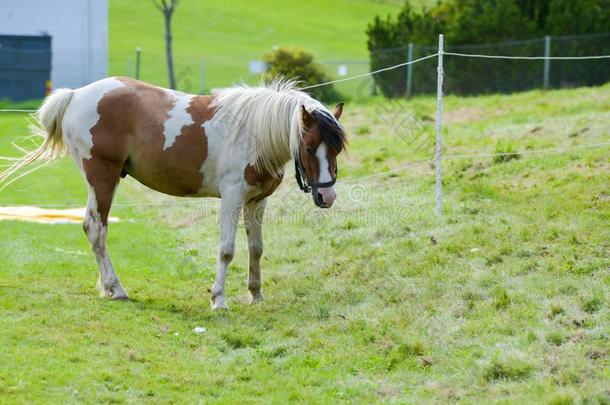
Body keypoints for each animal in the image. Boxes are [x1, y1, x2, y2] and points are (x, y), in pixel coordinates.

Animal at [0, 76, 344, 310]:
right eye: (309, 148)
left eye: (337, 149)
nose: (327, 198)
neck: (253, 132)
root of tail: (76, 95)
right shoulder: (232, 199)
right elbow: (227, 249)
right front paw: (219, 299)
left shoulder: (257, 202)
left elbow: (256, 248)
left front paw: (256, 294)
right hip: (102, 178)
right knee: (97, 229)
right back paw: (116, 288)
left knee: (89, 227)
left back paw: (108, 287)